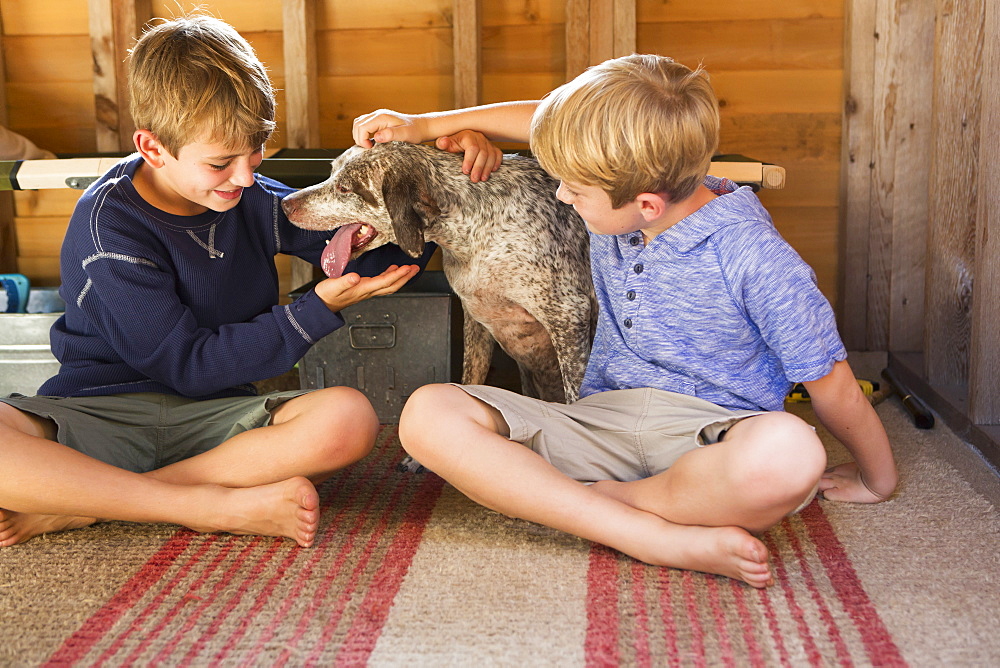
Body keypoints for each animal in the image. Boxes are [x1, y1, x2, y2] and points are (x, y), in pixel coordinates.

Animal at [282, 141, 592, 402]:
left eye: (345, 188)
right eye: (331, 172)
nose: (285, 204)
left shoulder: (569, 316)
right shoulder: (476, 319)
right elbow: (471, 381)